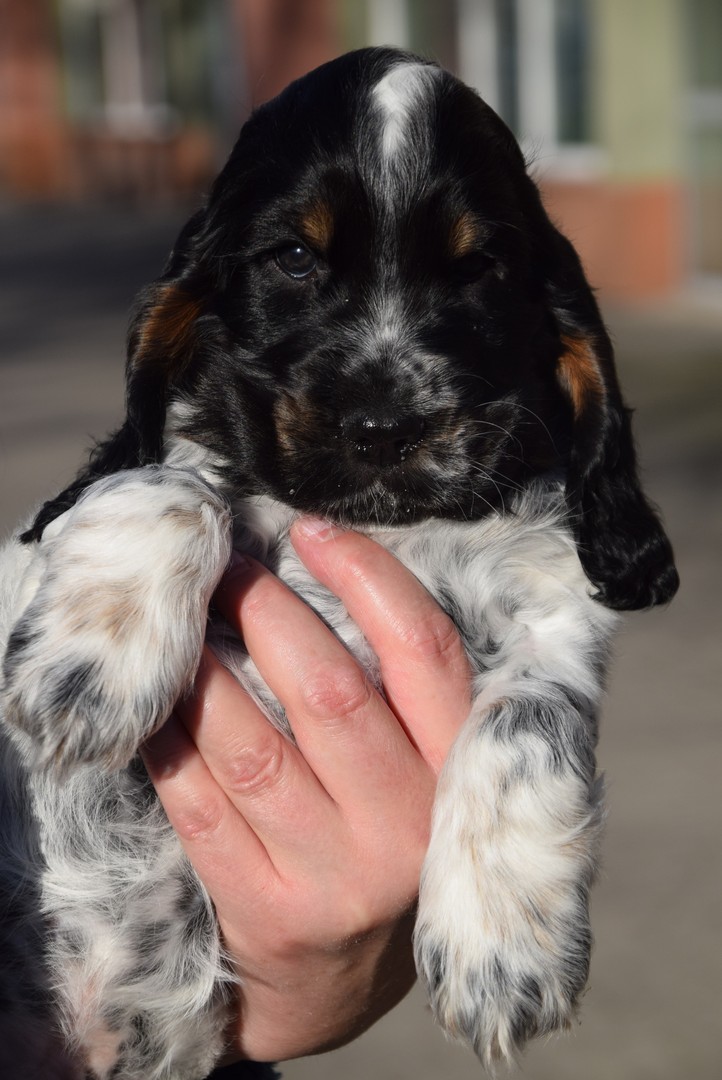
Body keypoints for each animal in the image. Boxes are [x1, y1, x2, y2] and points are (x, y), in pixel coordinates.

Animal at [0, 47, 678, 1079]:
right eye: (293, 259)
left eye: (479, 269)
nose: (388, 428)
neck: (381, 526)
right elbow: (170, 475)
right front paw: (89, 672)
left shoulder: (558, 606)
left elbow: (528, 721)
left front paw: (502, 947)